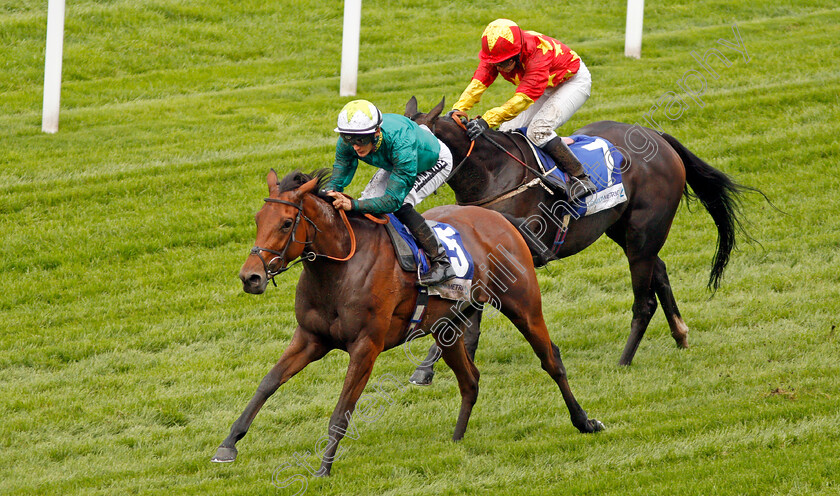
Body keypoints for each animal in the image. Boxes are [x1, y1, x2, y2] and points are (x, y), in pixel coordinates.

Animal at [210, 170, 604, 472]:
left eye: (286, 223)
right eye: (258, 220)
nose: (250, 277)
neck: (338, 270)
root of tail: (499, 218)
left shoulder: (366, 347)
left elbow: (342, 411)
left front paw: (323, 468)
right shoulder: (310, 337)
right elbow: (267, 383)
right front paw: (228, 445)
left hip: (523, 305)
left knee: (551, 360)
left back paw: (585, 421)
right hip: (447, 328)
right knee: (470, 380)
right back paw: (456, 441)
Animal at [406, 96, 756, 380]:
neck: (493, 176)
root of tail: (658, 136)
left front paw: (430, 366)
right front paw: (438, 364)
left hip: (643, 233)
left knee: (644, 301)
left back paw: (624, 361)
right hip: (623, 229)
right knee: (660, 271)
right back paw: (680, 334)